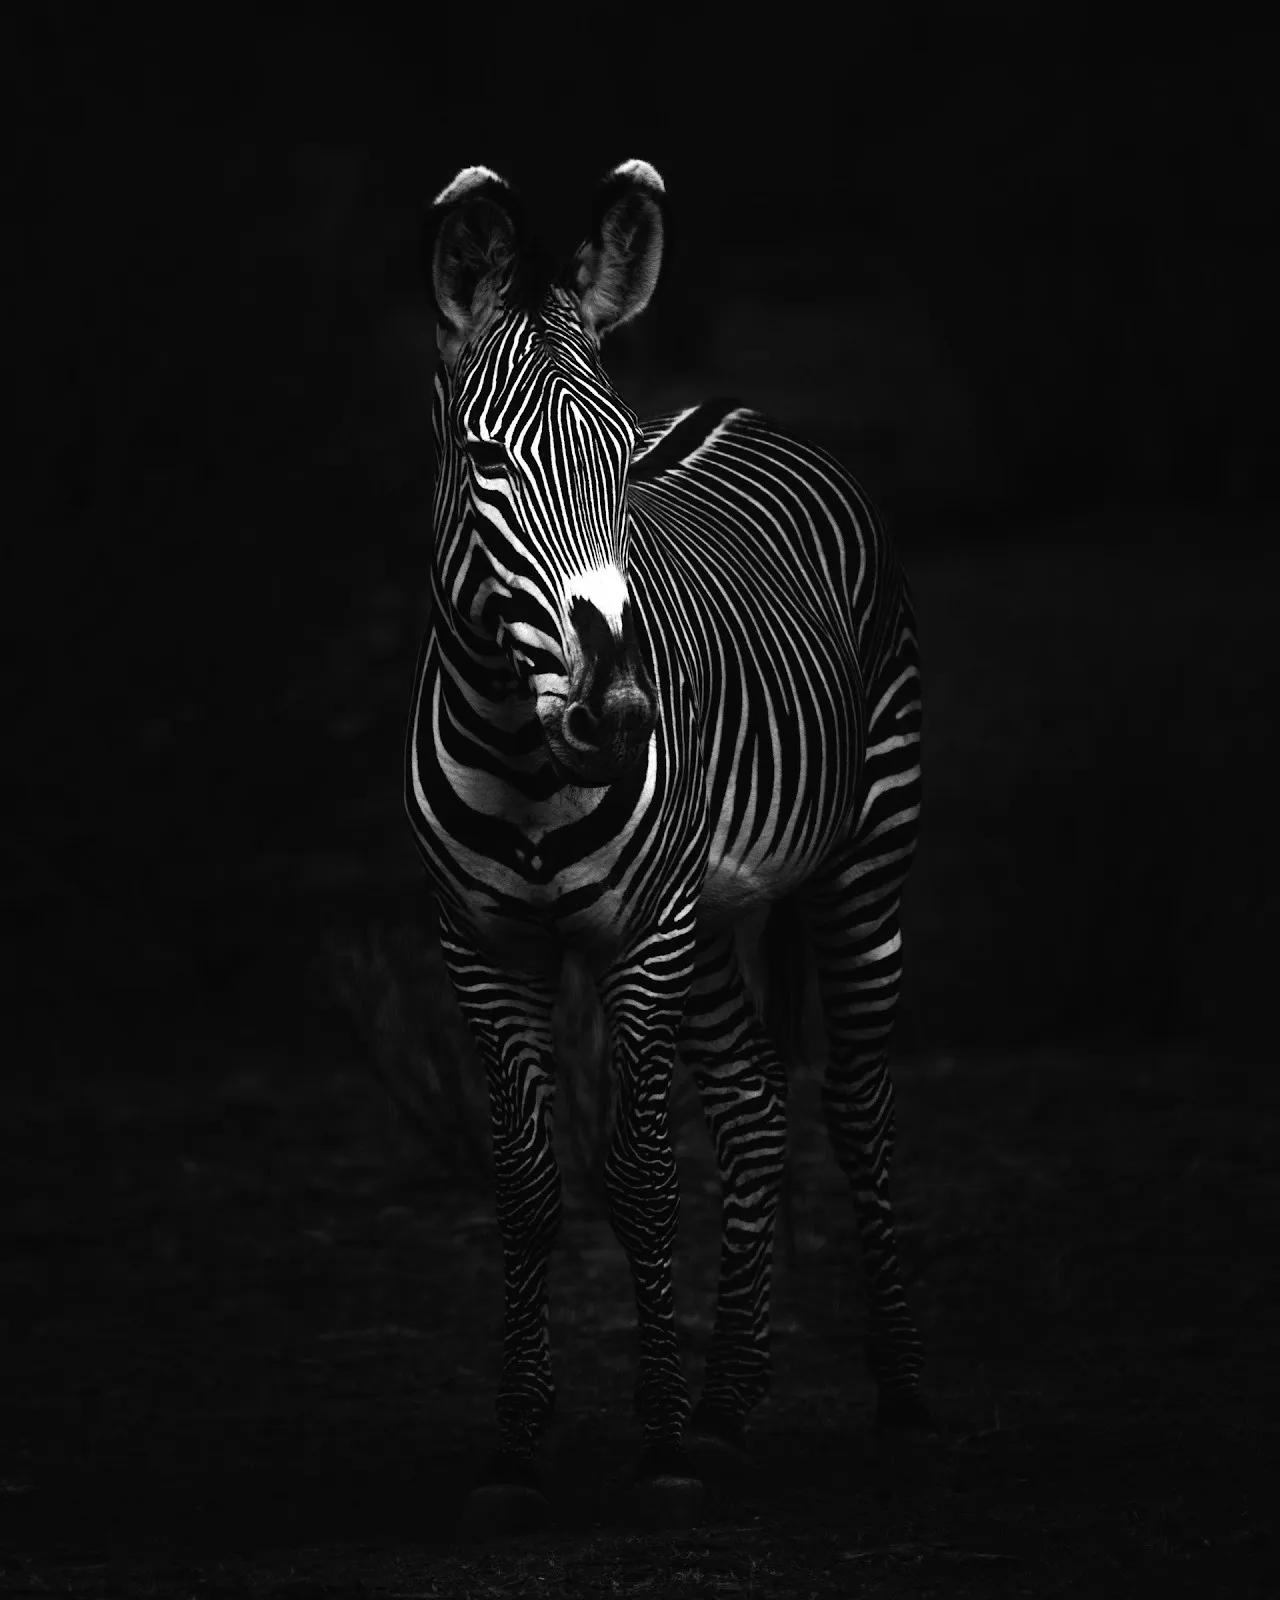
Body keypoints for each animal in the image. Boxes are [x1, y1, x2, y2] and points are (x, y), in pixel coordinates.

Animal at [406, 159, 932, 1529]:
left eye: (615, 461)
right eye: (484, 459)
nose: (621, 714)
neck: (529, 753)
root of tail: (737, 412)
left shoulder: (637, 939)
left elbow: (639, 1177)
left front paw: (652, 1450)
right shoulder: (482, 948)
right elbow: (529, 1184)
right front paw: (519, 1446)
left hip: (862, 856)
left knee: (855, 1102)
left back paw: (900, 1401)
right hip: (705, 917)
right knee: (750, 1102)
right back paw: (728, 1406)